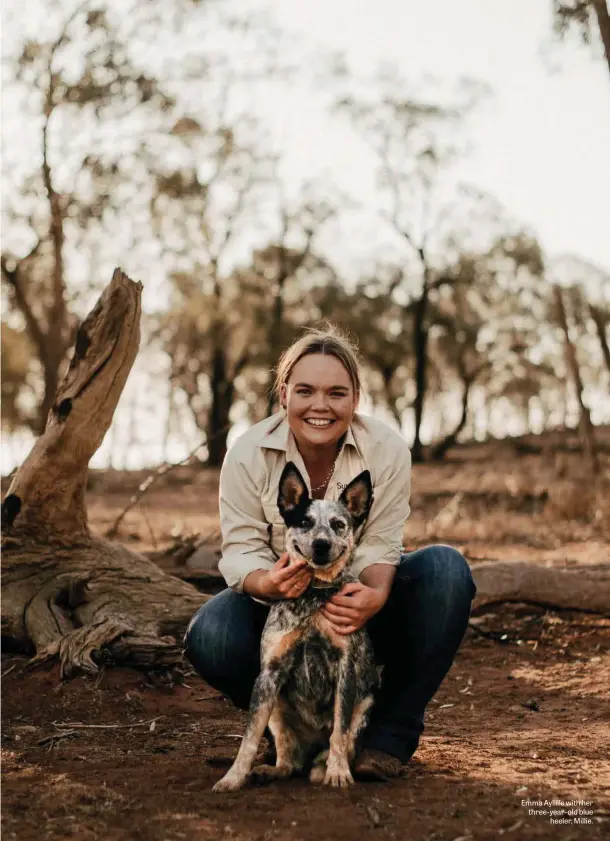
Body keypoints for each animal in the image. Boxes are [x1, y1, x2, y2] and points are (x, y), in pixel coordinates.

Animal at [213, 462, 376, 792]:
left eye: (338, 524)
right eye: (304, 521)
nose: (321, 544)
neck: (312, 596)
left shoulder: (346, 670)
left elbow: (339, 732)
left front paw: (338, 772)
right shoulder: (269, 674)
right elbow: (249, 737)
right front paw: (233, 777)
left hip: (366, 704)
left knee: (335, 746)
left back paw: (327, 767)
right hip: (277, 709)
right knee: (289, 760)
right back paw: (271, 769)